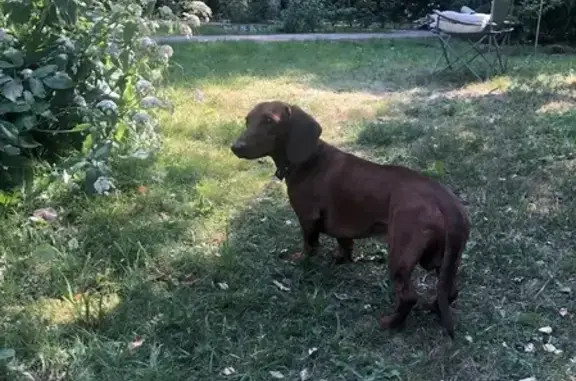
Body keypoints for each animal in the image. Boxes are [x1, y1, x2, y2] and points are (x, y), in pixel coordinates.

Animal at [232, 100, 470, 336]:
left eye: (269, 121)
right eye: (247, 120)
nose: (236, 147)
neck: (309, 159)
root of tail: (448, 203)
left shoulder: (308, 219)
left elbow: (309, 246)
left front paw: (301, 260)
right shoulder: (341, 226)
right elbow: (344, 245)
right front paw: (340, 259)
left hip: (401, 255)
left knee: (409, 297)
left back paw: (391, 323)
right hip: (440, 259)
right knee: (450, 291)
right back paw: (433, 307)